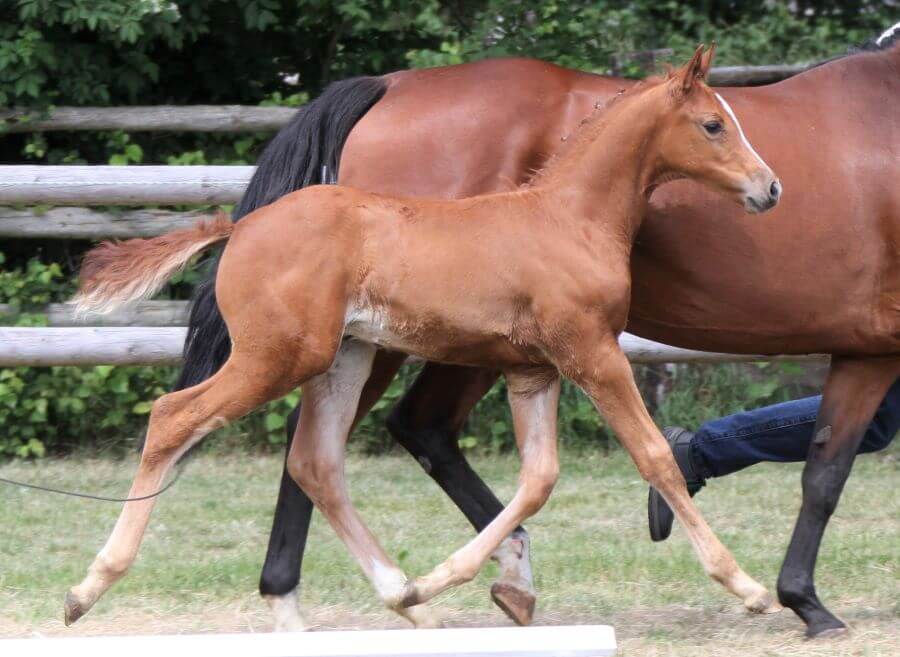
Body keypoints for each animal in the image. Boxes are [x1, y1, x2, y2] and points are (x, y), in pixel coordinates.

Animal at [68, 47, 780, 624]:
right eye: (713, 124)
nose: (769, 187)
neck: (564, 217)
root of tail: (238, 227)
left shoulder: (533, 370)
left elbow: (539, 478)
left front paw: (449, 582)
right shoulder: (593, 354)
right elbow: (654, 455)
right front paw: (747, 586)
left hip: (344, 360)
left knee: (315, 461)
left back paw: (402, 595)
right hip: (280, 357)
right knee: (173, 417)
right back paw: (88, 587)